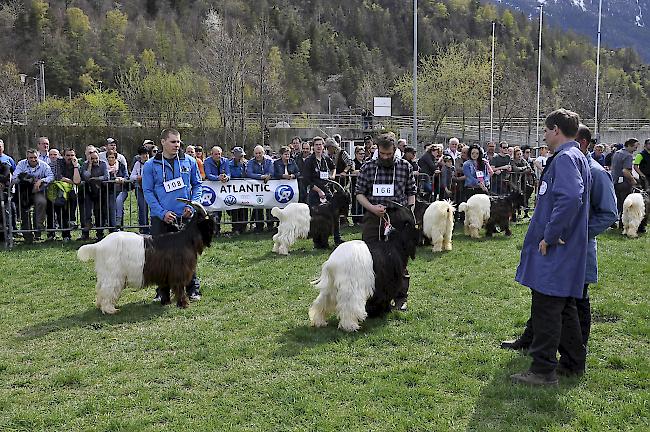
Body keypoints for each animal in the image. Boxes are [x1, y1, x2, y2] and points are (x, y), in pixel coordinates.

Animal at [76, 199, 213, 314]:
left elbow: (166, 287)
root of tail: (99, 245)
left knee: (101, 288)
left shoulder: (166, 273)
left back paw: (101, 306)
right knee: (107, 289)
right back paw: (110, 309)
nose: (216, 231)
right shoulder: (178, 273)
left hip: (105, 273)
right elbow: (179, 288)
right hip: (113, 274)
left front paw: (166, 302)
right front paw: (184, 304)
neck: (186, 240)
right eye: (209, 221)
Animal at [308, 204, 418, 332]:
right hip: (351, 288)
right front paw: (383, 311)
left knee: (321, 302)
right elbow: (384, 297)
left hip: (330, 287)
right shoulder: (387, 283)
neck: (393, 244)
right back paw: (350, 326)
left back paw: (319, 321)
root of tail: (332, 263)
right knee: (348, 307)